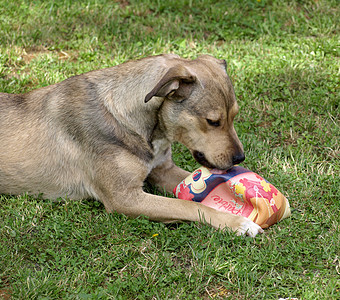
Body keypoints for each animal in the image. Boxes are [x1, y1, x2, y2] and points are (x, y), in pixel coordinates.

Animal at [0, 54, 262, 237]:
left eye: (234, 115)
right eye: (213, 121)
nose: (239, 159)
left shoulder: (163, 170)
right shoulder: (125, 199)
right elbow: (186, 206)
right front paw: (237, 223)